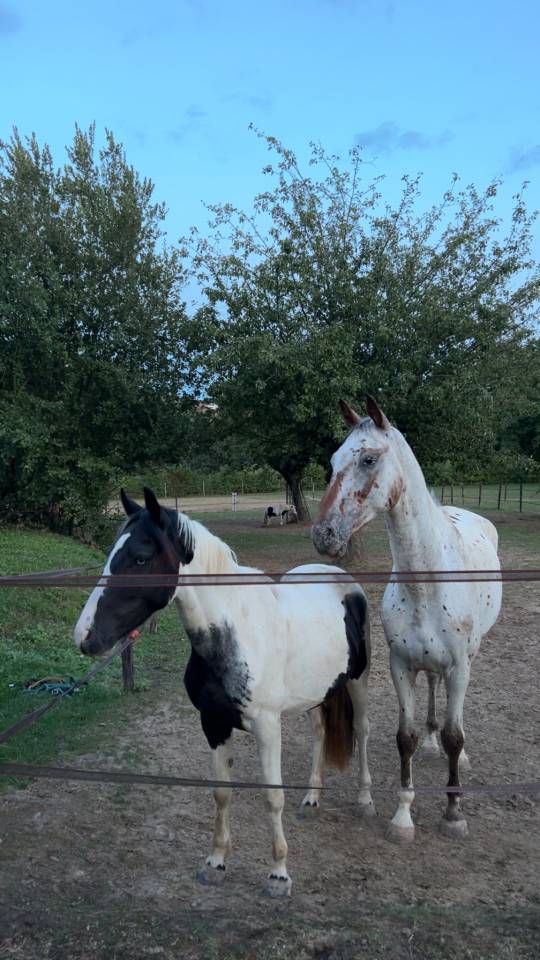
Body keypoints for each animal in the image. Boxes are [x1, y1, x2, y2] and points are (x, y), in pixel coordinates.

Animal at [74, 487, 375, 896]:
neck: (233, 634)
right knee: (321, 732)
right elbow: (222, 793)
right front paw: (215, 862)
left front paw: (278, 874)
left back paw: (366, 800)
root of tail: (340, 577)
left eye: (139, 557)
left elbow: (272, 796)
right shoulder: (213, 724)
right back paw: (312, 798)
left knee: (361, 730)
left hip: (357, 682)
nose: (85, 636)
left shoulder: (267, 728)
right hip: (318, 692)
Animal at [312, 397, 502, 842]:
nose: (324, 534)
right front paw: (402, 816)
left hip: (468, 659)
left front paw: (453, 813)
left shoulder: (459, 666)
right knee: (432, 691)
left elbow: (454, 735)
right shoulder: (401, 665)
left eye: (367, 458)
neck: (427, 583)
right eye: (333, 460)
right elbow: (406, 737)